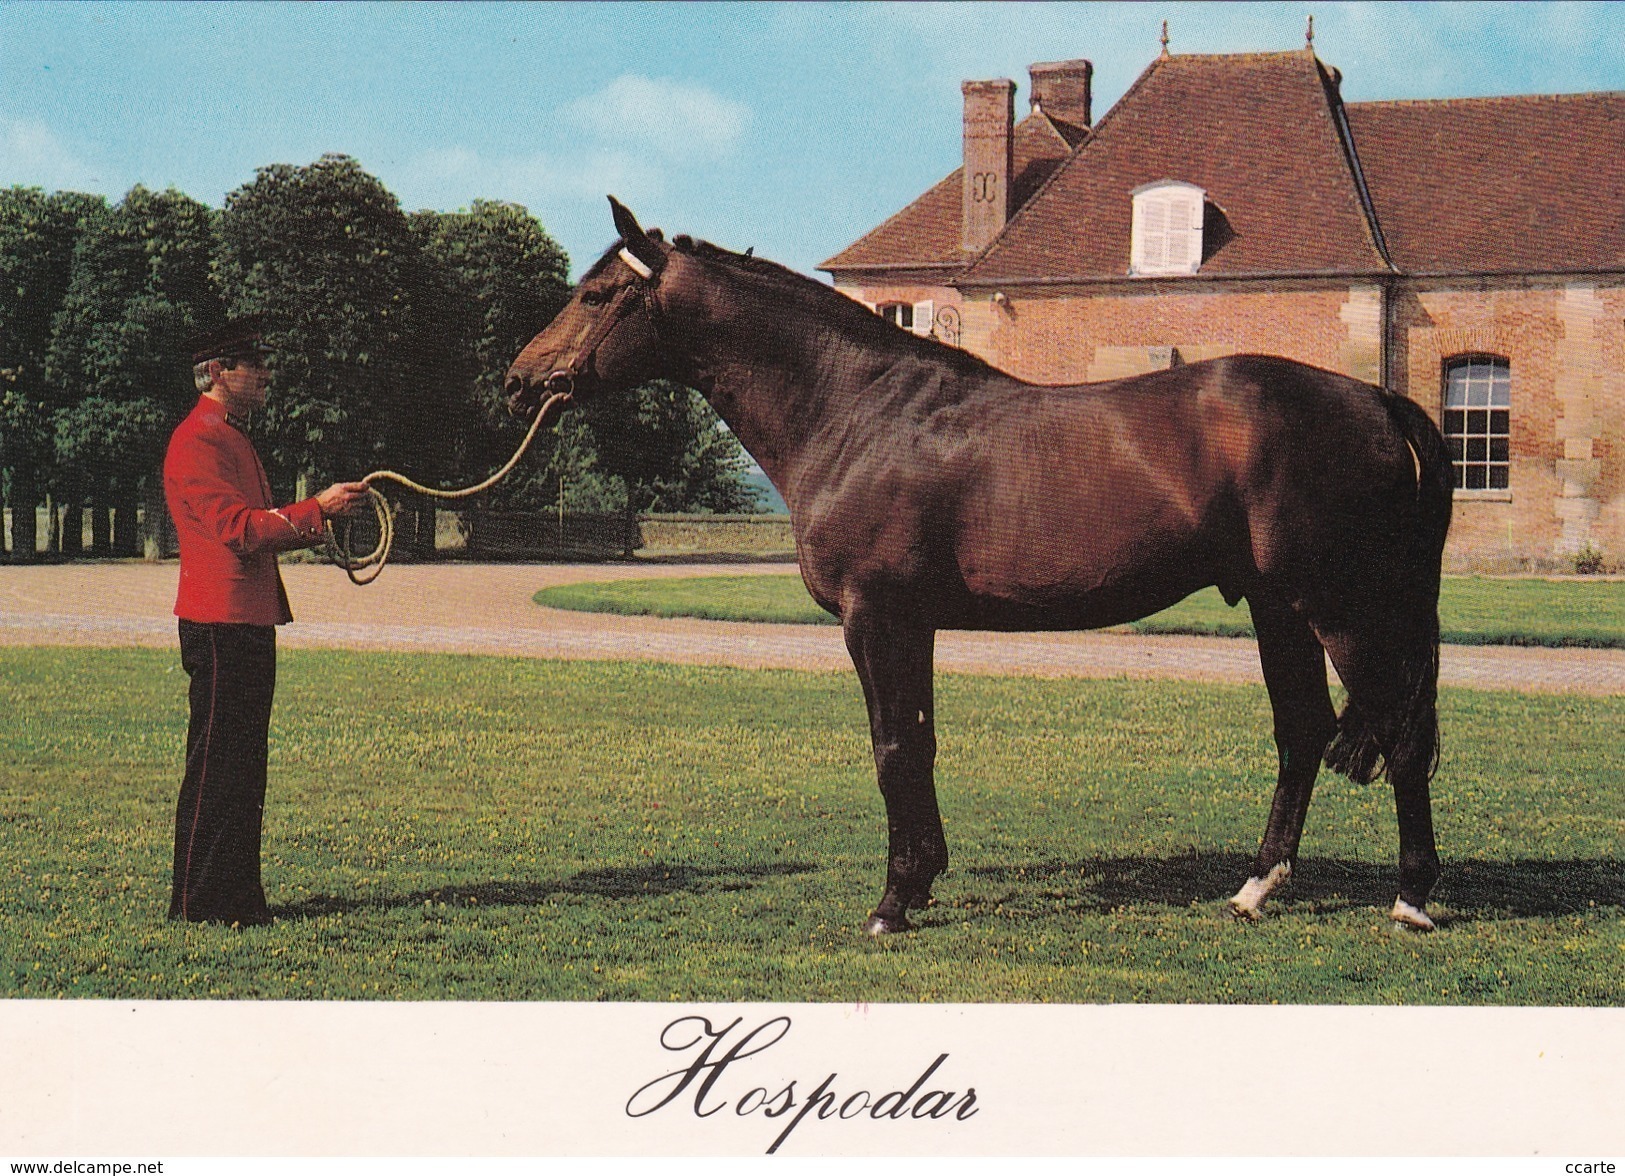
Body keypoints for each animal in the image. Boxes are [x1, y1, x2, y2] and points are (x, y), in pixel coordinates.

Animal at [500, 202, 1456, 935]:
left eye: (596, 294)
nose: (518, 381)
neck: (854, 412)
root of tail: (1375, 398)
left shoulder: (875, 617)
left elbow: (891, 746)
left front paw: (891, 903)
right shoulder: (912, 622)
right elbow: (919, 742)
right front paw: (922, 880)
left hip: (1341, 608)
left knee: (1401, 736)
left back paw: (1410, 901)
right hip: (1276, 607)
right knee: (1301, 734)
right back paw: (1254, 889)